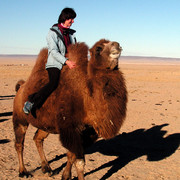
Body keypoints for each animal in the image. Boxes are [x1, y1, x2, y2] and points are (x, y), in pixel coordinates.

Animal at [12, 38, 127, 179]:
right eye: (99, 48)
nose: (117, 45)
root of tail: (21, 87)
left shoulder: (87, 132)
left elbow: (71, 156)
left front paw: (66, 175)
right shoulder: (70, 129)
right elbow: (79, 162)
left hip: (46, 124)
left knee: (37, 139)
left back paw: (47, 168)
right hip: (20, 117)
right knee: (19, 143)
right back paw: (23, 171)